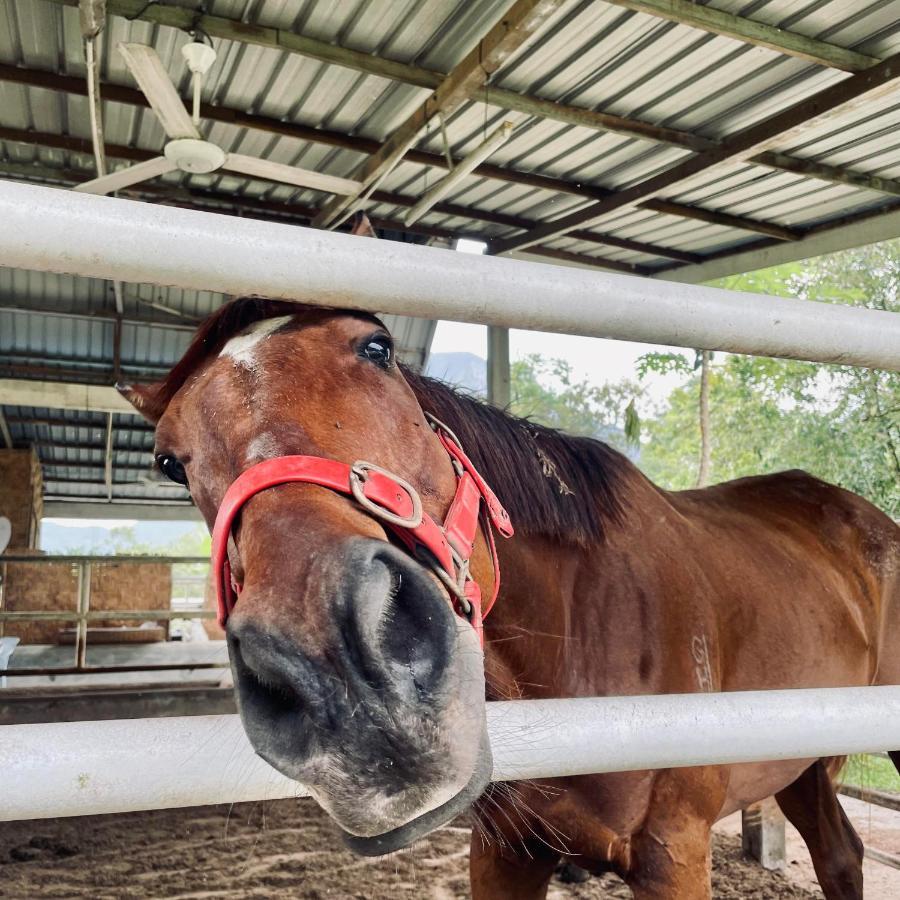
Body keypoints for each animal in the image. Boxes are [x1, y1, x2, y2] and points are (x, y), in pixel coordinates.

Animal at [121, 286, 900, 892]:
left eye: (376, 347)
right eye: (168, 460)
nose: (343, 669)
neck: (577, 636)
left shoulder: (673, 852)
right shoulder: (505, 851)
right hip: (804, 765)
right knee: (841, 854)